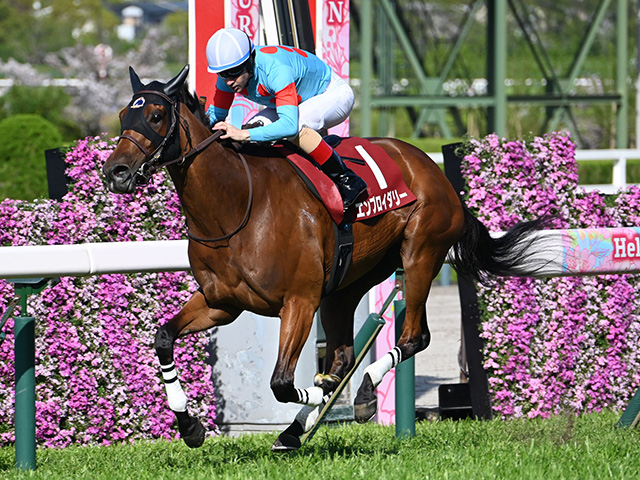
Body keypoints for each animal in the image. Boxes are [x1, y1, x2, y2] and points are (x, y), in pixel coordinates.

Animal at [103, 65, 544, 449]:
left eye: (156, 115)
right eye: (124, 114)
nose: (116, 172)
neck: (236, 204)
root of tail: (433, 170)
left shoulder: (299, 300)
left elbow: (282, 383)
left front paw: (321, 398)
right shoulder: (221, 302)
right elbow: (163, 338)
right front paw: (190, 426)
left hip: (420, 253)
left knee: (411, 337)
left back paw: (359, 394)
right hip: (348, 284)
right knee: (344, 354)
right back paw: (300, 428)